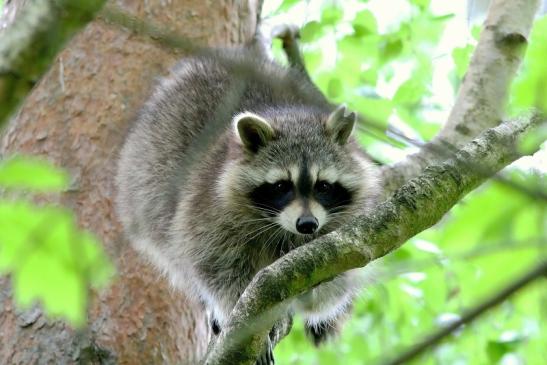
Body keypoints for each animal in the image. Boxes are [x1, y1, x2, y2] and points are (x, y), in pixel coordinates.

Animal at [115, 44, 382, 360]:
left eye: (324, 186)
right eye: (281, 186)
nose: (307, 224)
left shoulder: (350, 226)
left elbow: (337, 284)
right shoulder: (207, 212)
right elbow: (216, 268)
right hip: (147, 183)